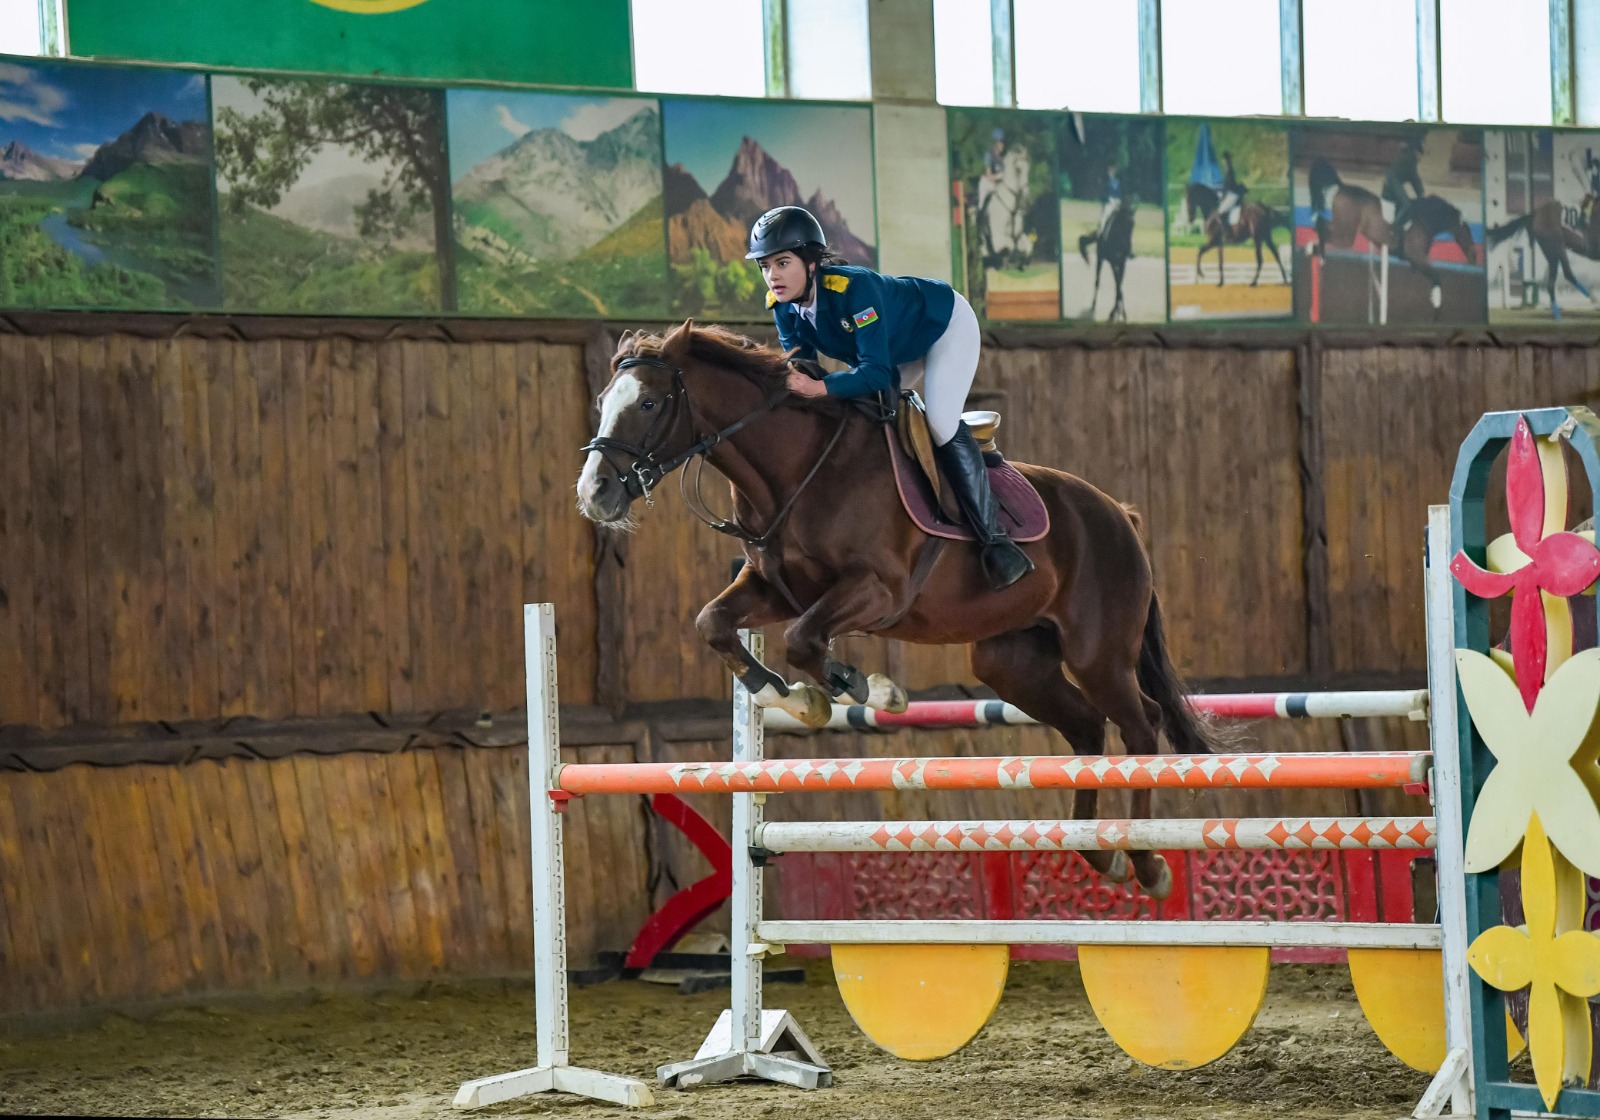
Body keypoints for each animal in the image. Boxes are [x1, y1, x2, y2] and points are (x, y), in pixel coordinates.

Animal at [579, 320, 1222, 896]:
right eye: (604, 402)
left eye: (649, 403)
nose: (594, 493)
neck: (797, 468)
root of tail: (1121, 514)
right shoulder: (772, 588)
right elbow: (714, 623)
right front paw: (794, 697)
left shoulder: (878, 590)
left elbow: (804, 641)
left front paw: (870, 691)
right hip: (1011, 662)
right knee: (1086, 724)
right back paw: (1099, 852)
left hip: (1098, 653)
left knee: (1140, 723)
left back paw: (1145, 862)